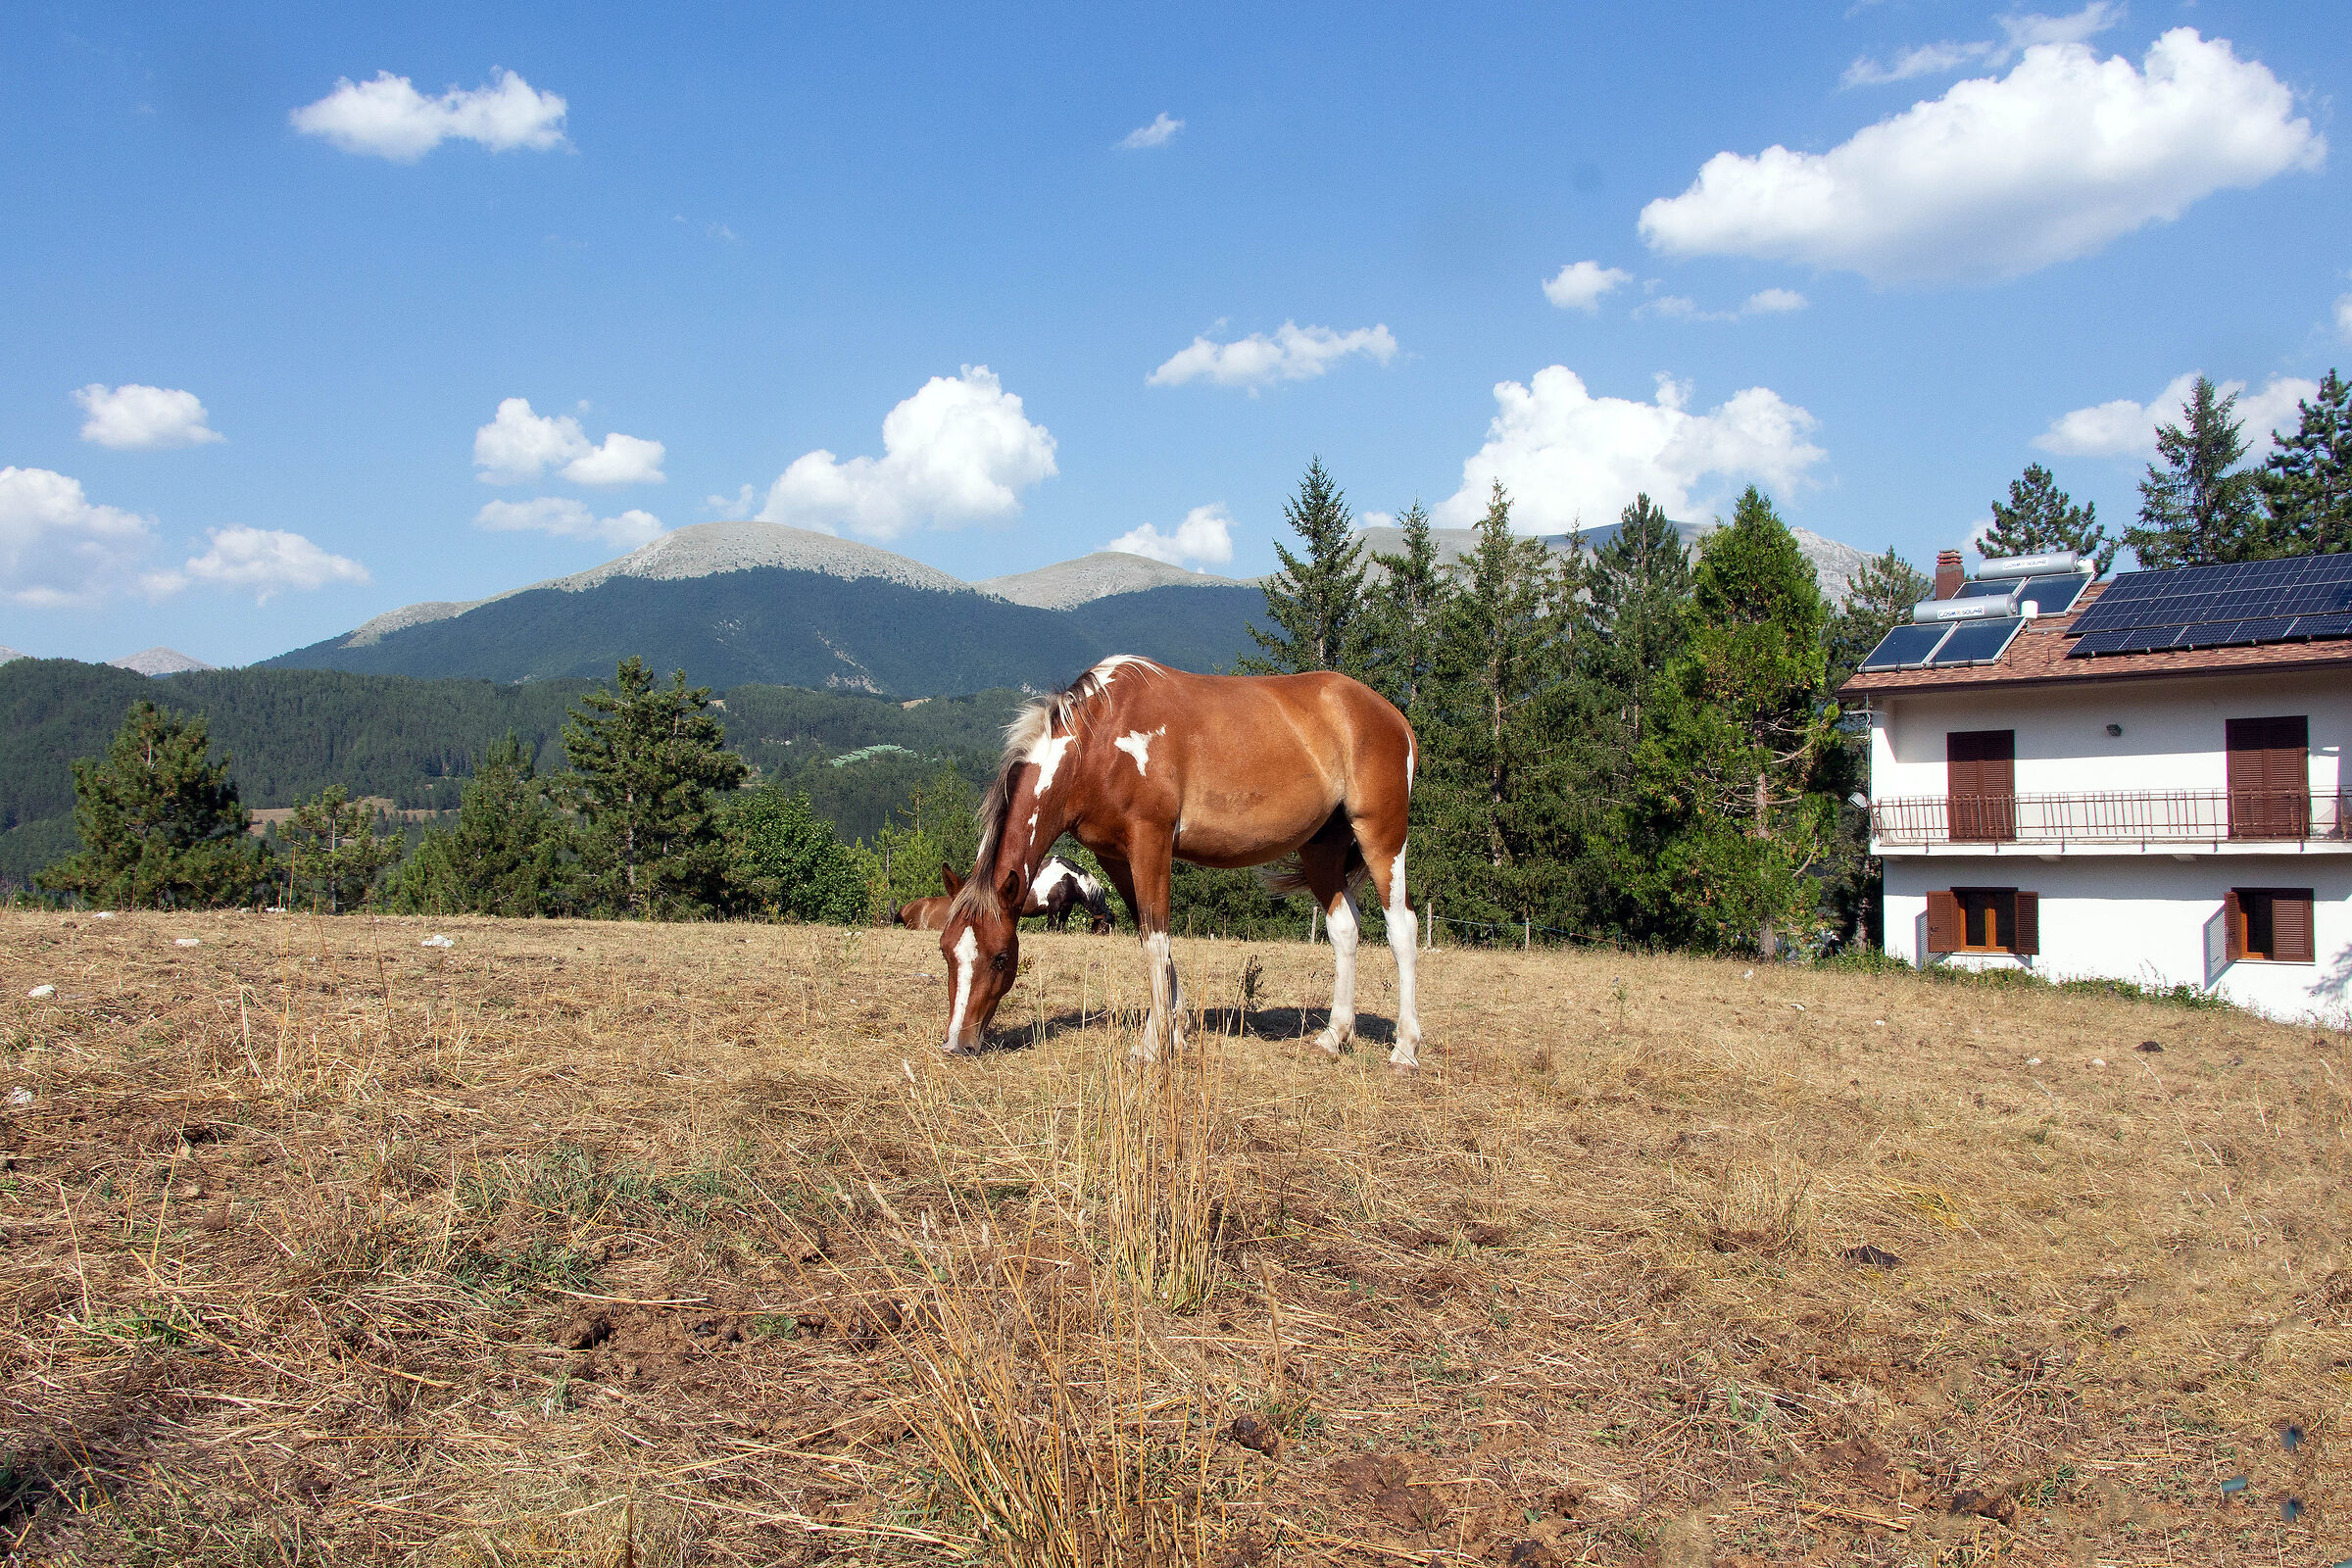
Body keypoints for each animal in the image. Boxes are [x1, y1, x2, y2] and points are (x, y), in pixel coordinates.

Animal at [938, 655, 1422, 1069]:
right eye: (946, 950)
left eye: (1001, 957)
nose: (959, 1044)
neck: (1098, 740)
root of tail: (1394, 717)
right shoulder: (1115, 856)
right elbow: (1149, 935)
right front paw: (1176, 1032)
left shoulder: (1150, 841)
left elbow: (1156, 938)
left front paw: (1152, 1046)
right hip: (1321, 848)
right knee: (1344, 929)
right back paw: (1334, 1037)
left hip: (1382, 838)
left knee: (1402, 929)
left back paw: (1405, 1049)